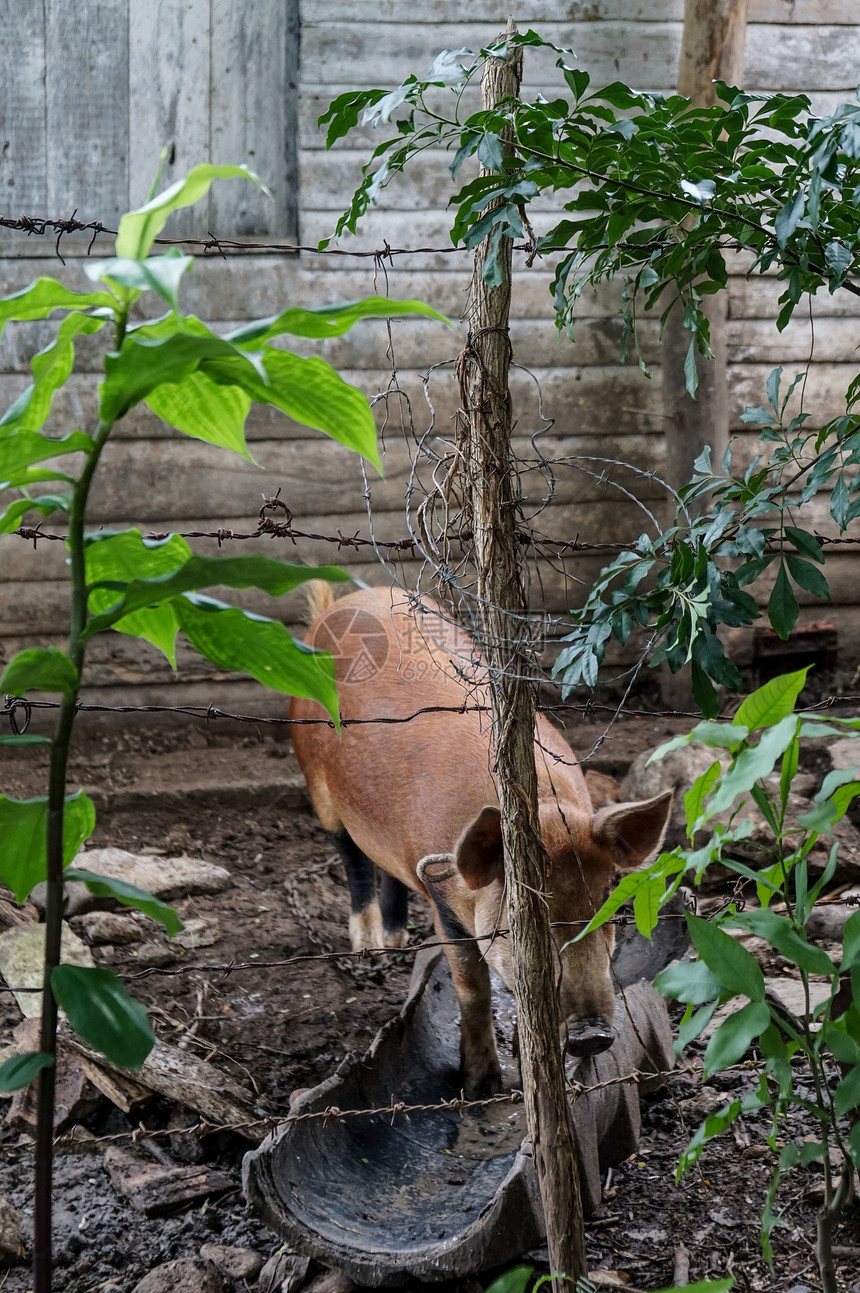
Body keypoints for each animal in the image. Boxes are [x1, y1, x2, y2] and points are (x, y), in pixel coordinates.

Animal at [292, 581, 672, 1096]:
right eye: (521, 910)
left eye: (608, 899)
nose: (593, 1035)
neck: (544, 809)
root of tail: (337, 605)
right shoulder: (442, 897)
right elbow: (472, 987)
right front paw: (480, 1088)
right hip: (315, 779)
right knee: (352, 859)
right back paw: (370, 948)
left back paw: (395, 941)